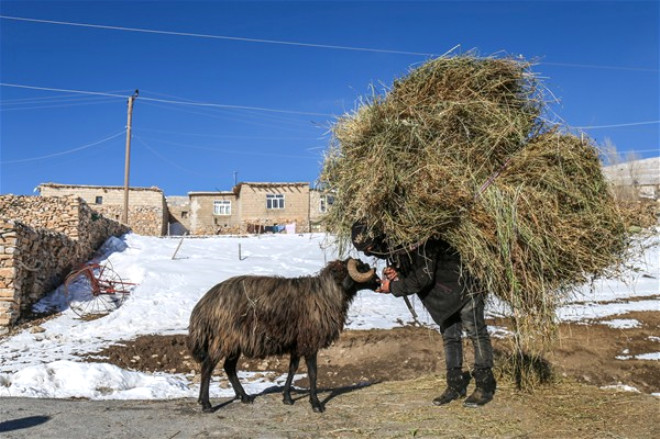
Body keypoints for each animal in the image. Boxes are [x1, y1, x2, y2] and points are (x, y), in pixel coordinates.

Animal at [188, 258, 378, 412]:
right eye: (361, 267)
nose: (378, 282)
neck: (327, 294)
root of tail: (205, 303)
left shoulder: (297, 342)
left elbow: (292, 368)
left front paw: (287, 398)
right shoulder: (310, 342)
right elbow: (313, 372)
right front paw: (316, 403)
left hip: (235, 341)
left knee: (229, 367)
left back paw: (244, 397)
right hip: (225, 338)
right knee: (208, 366)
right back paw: (206, 404)